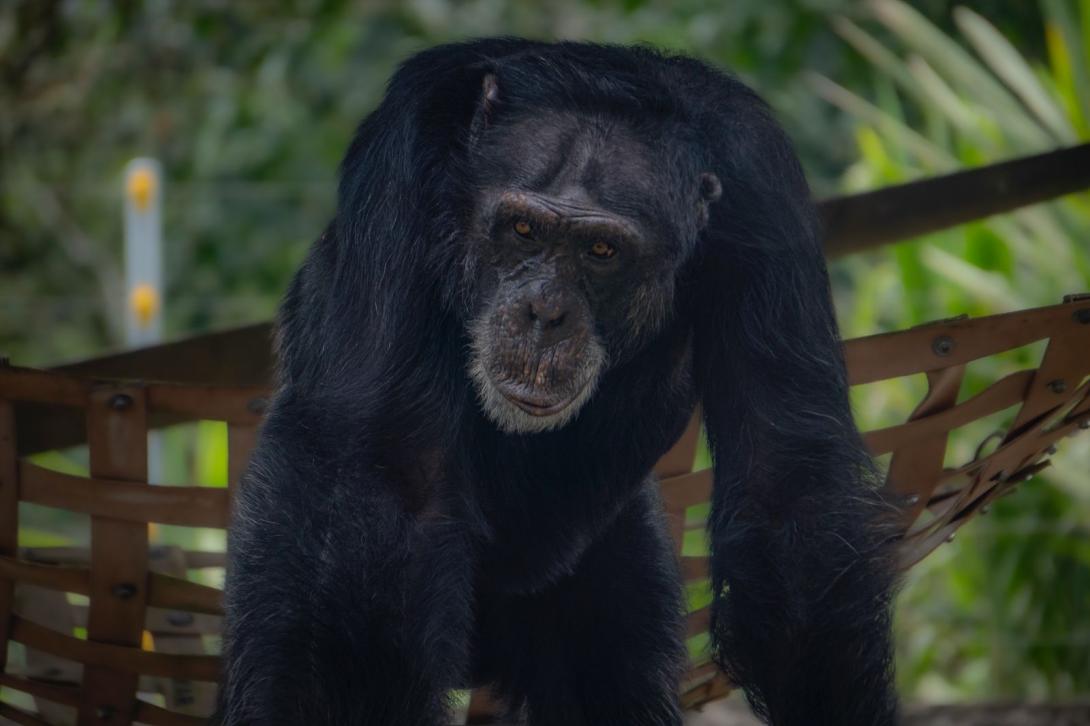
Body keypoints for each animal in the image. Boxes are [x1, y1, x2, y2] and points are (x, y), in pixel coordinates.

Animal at [216, 39, 898, 723]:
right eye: (522, 230)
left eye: (601, 251)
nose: (544, 311)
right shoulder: (398, 168)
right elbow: (386, 472)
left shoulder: (763, 188)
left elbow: (786, 487)